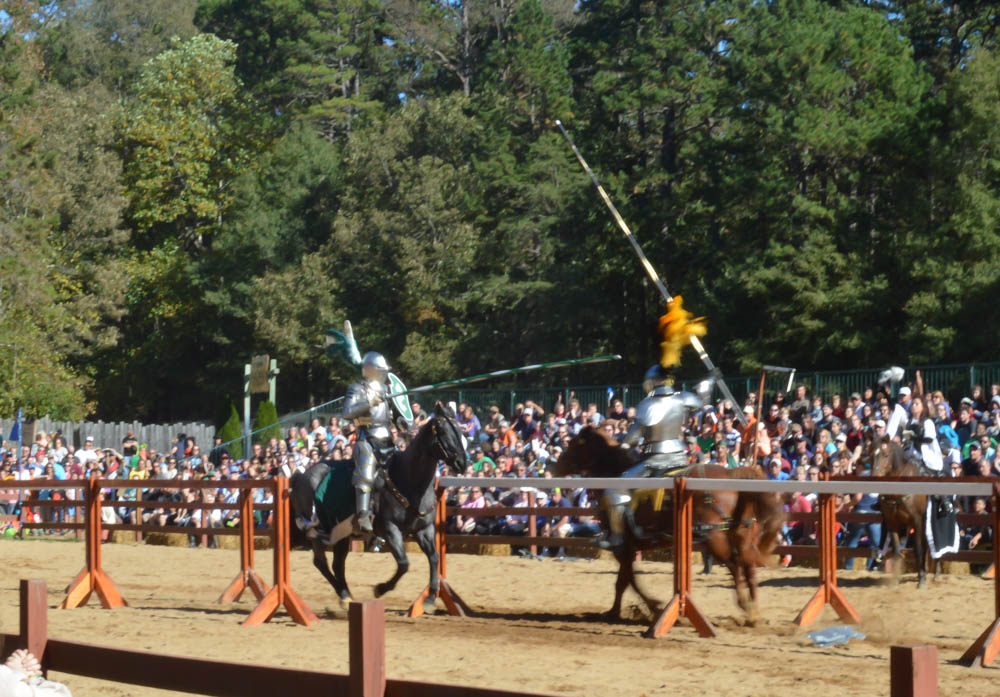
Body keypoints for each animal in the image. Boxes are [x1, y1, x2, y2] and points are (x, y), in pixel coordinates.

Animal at [290, 402, 468, 616]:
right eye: (443, 431)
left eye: (460, 431)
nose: (462, 463)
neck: (408, 478)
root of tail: (301, 476)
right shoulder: (389, 530)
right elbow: (404, 563)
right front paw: (381, 588)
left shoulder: (424, 529)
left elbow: (434, 558)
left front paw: (430, 599)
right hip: (316, 530)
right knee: (321, 562)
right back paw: (344, 594)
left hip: (341, 533)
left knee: (337, 564)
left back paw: (346, 596)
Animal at [552, 426, 784, 624]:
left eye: (575, 444)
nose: (556, 465)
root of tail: (730, 474)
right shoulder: (629, 548)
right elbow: (624, 581)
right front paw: (616, 611)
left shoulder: (622, 547)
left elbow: (628, 580)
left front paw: (652, 607)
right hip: (742, 535)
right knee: (749, 566)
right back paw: (755, 613)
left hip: (714, 538)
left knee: (735, 565)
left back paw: (745, 605)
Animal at [872, 438, 932, 584]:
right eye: (872, 455)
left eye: (885, 455)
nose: (875, 476)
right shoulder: (892, 523)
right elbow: (896, 552)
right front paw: (894, 580)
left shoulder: (917, 521)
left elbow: (918, 549)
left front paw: (922, 579)